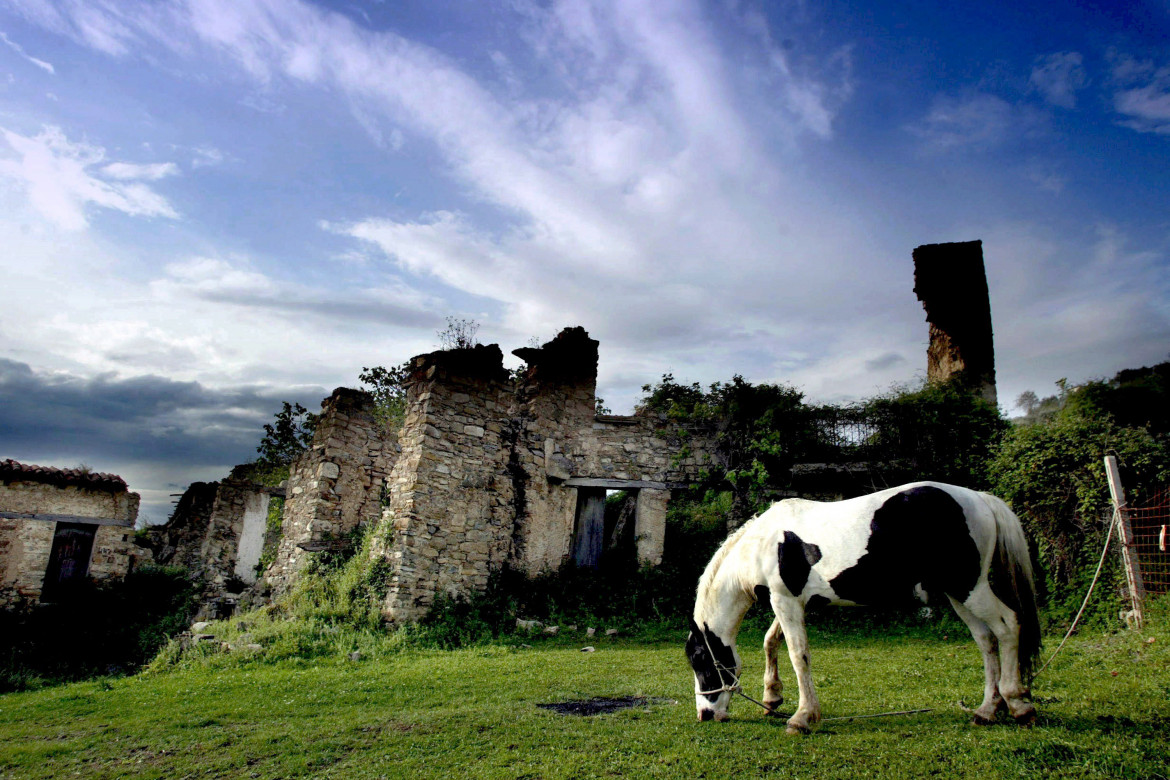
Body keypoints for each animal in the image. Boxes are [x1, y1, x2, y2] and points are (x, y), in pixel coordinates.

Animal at [683, 481, 1043, 734]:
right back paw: (987, 710)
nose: (705, 714)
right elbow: (771, 642)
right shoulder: (789, 600)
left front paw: (802, 717)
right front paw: (772, 698)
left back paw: (1018, 704)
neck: (763, 545)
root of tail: (980, 499)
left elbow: (799, 655)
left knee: (1008, 625)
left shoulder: (786, 601)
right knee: (986, 640)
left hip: (970, 588)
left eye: (700, 661)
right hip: (959, 594)